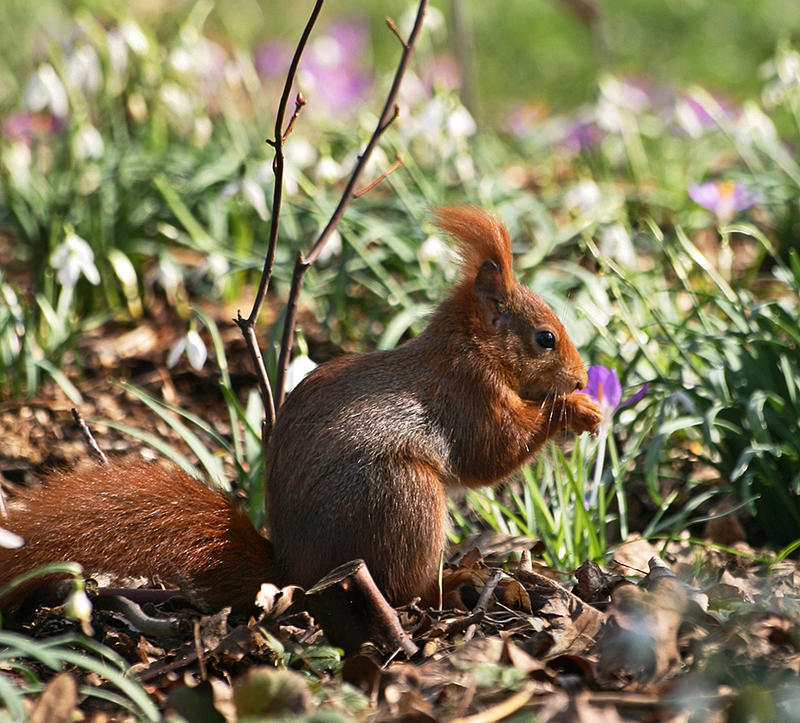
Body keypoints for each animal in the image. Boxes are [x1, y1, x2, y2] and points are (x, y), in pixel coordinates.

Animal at [0, 206, 600, 612]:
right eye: (545, 338)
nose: (578, 376)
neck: (469, 345)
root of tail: (295, 575)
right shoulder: (467, 394)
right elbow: (492, 452)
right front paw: (577, 411)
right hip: (404, 498)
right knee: (403, 589)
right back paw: (454, 583)